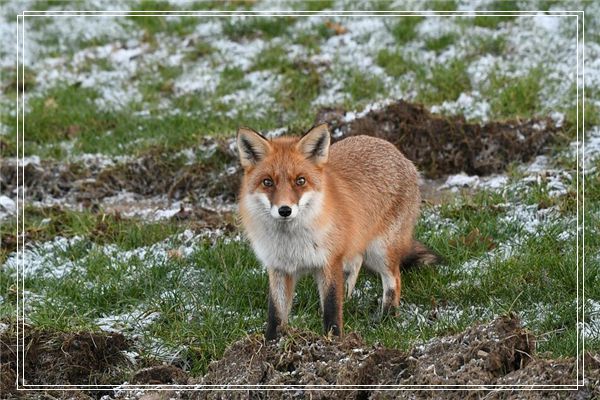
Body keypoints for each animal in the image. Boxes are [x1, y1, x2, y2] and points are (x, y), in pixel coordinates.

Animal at [237, 123, 438, 340]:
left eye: (300, 181)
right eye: (267, 182)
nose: (284, 210)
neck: (291, 243)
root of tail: (398, 152)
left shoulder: (329, 261)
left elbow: (332, 307)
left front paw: (333, 341)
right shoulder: (279, 268)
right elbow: (275, 313)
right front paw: (271, 343)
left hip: (381, 250)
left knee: (394, 279)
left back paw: (387, 317)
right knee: (356, 263)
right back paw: (349, 298)